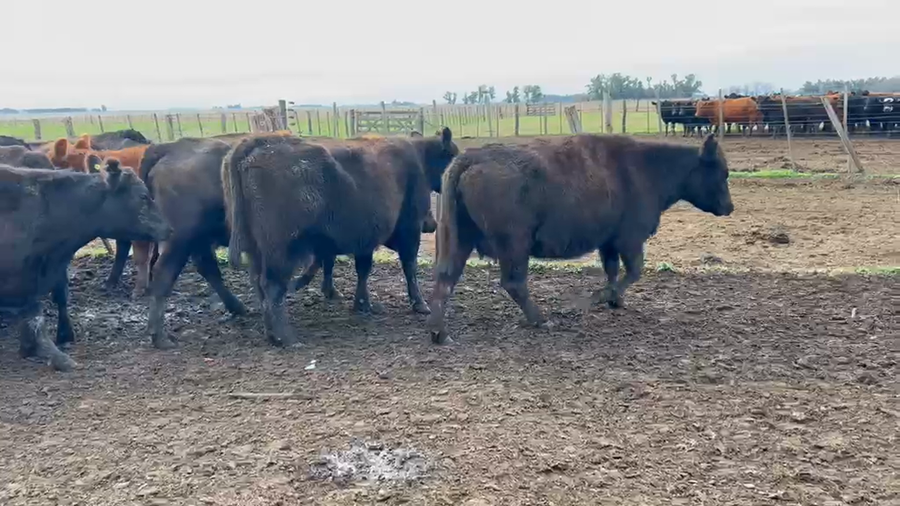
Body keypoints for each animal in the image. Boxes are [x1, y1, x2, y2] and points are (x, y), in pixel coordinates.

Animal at [223, 128, 458, 347]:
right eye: (452, 155)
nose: (431, 223)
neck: (418, 156)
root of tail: (259, 142)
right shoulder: (409, 230)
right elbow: (409, 267)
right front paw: (420, 304)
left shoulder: (366, 239)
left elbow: (363, 270)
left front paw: (363, 304)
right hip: (281, 252)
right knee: (272, 287)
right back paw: (286, 338)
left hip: (256, 251)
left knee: (259, 285)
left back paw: (271, 334)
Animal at [426, 133, 734, 344]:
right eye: (722, 172)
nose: (729, 207)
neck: (648, 169)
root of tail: (470, 159)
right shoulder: (630, 239)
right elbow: (634, 271)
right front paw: (599, 298)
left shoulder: (609, 243)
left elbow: (613, 270)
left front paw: (615, 300)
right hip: (514, 246)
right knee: (513, 283)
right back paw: (542, 320)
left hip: (460, 241)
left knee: (445, 280)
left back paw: (440, 334)